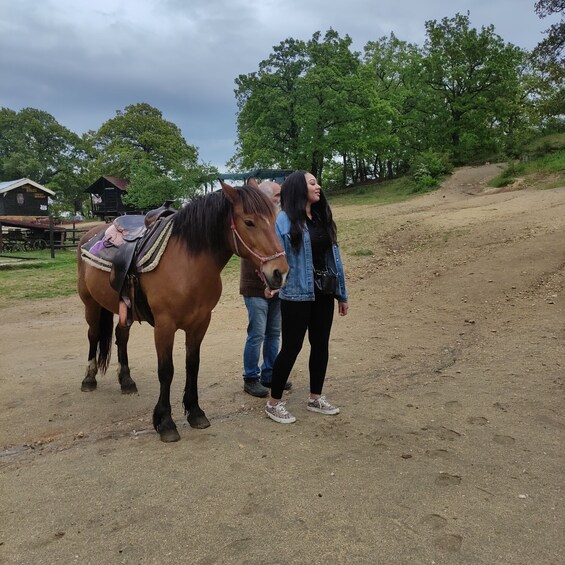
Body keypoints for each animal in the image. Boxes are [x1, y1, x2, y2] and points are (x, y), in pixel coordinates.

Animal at [77, 181, 288, 440]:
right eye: (249, 222)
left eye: (274, 217)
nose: (280, 272)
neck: (187, 265)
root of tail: (91, 234)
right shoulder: (164, 326)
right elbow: (166, 371)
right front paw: (165, 422)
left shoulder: (200, 323)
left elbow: (192, 365)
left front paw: (195, 412)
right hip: (90, 304)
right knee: (93, 335)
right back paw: (89, 378)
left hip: (125, 309)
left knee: (120, 336)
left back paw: (126, 380)